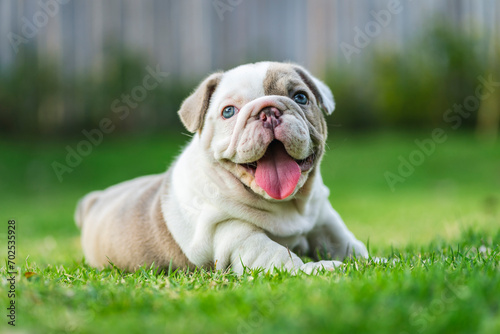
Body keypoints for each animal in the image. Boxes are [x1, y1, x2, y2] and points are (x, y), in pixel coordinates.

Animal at [76, 62, 370, 274]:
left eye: (300, 97)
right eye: (228, 111)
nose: (268, 111)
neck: (285, 206)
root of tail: (95, 200)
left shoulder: (324, 218)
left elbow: (347, 243)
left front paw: (373, 262)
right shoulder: (237, 236)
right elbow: (282, 257)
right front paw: (319, 268)